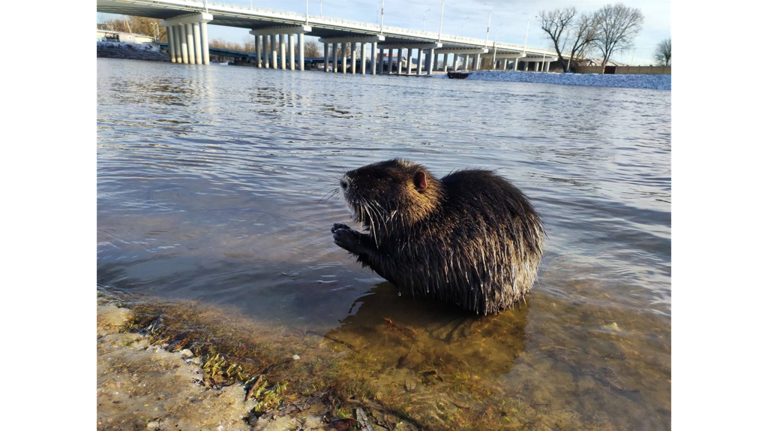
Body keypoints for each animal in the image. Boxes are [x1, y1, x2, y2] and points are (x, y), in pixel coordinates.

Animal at [332, 159, 544, 314]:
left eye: (387, 177)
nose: (344, 181)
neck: (435, 213)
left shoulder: (435, 247)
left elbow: (408, 274)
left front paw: (345, 235)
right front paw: (338, 226)